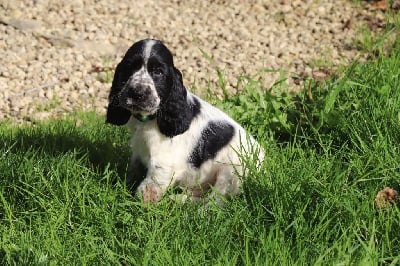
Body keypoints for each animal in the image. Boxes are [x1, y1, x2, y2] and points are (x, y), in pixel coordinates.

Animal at [106, 38, 264, 203]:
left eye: (158, 72)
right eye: (129, 68)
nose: (137, 93)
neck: (148, 119)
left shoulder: (163, 161)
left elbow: (151, 186)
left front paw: (141, 204)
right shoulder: (138, 151)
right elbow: (133, 169)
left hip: (231, 172)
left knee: (215, 200)